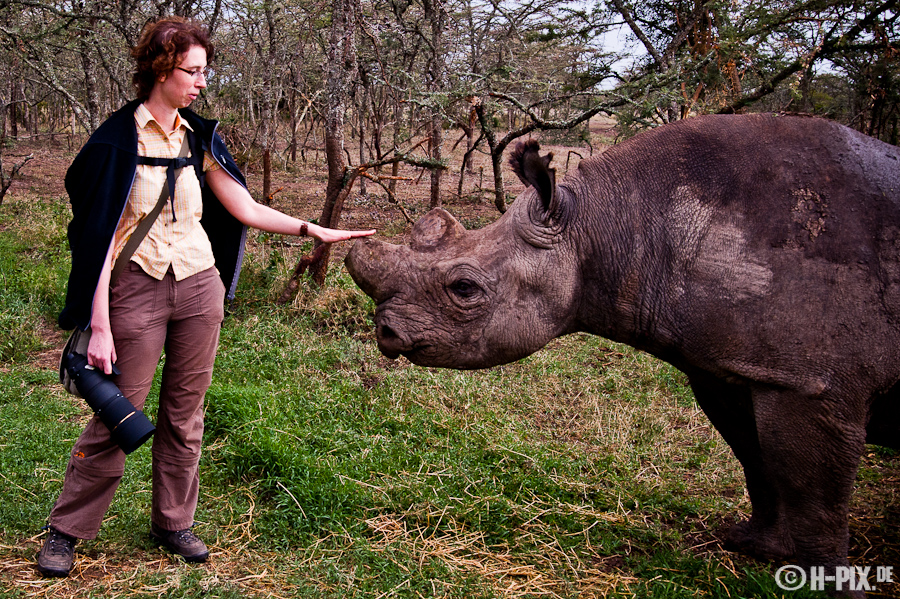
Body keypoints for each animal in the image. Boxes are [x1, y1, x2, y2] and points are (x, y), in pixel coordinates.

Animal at [344, 113, 900, 596]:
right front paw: (754, 545)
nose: (385, 333)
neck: (610, 225)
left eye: (463, 288)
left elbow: (816, 498)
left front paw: (830, 586)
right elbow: (754, 457)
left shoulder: (809, 382)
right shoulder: (738, 368)